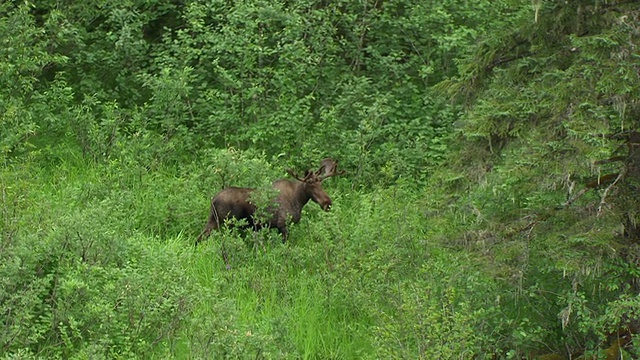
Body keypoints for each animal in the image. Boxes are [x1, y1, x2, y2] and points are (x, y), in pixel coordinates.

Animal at [196, 158, 342, 245]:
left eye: (321, 184)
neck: (299, 200)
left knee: (199, 238)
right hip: (228, 223)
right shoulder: (283, 225)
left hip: (213, 220)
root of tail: (213, 200)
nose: (327, 203)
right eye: (311, 185)